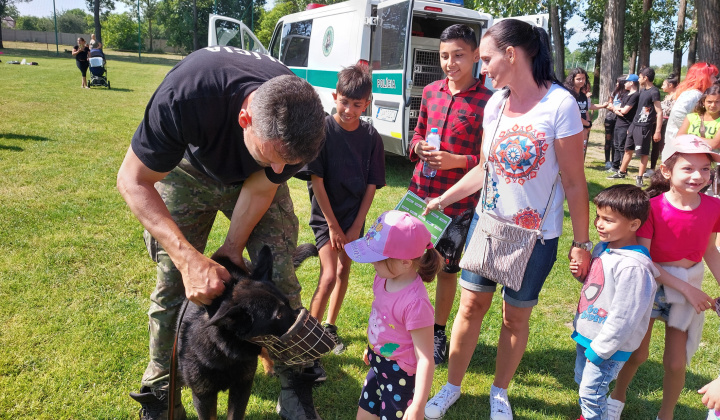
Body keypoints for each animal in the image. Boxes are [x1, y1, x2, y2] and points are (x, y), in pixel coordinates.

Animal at [176, 244, 316, 418]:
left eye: (288, 303)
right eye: (279, 315)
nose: (308, 320)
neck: (224, 351)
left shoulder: (242, 387)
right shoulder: (203, 397)